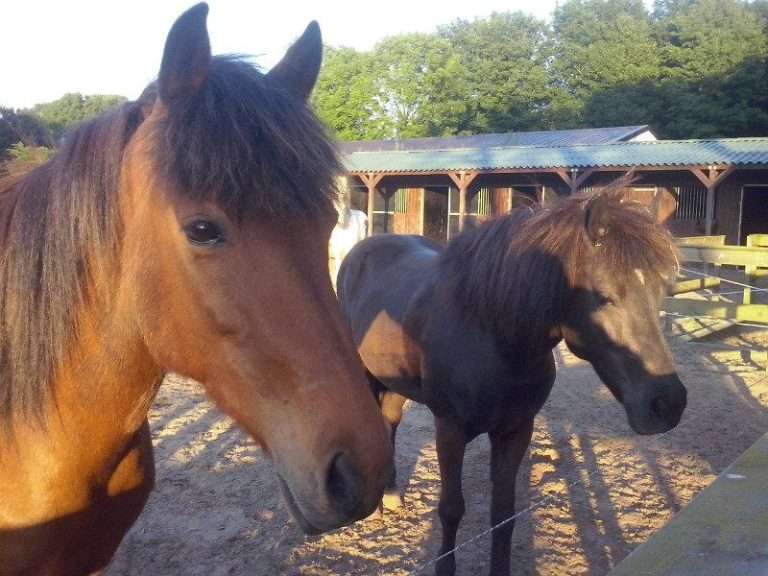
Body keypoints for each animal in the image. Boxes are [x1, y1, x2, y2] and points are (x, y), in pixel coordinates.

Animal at [337, 186, 687, 576]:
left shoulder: (516, 429)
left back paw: (391, 492)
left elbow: (503, 515)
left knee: (391, 420)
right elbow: (451, 509)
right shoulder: (450, 429)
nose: (667, 404)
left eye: (662, 290)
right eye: (605, 296)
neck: (491, 336)